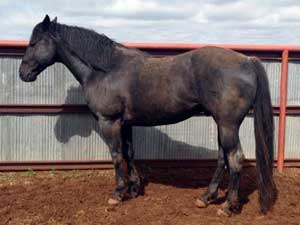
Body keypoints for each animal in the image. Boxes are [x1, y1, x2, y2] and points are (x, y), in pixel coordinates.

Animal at [18, 15, 276, 216]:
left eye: (33, 43)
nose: (23, 74)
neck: (106, 70)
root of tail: (247, 61)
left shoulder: (109, 122)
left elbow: (116, 155)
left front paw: (118, 193)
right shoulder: (125, 123)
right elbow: (129, 153)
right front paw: (134, 189)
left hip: (228, 124)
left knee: (235, 158)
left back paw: (228, 206)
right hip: (221, 123)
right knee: (223, 158)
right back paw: (206, 198)